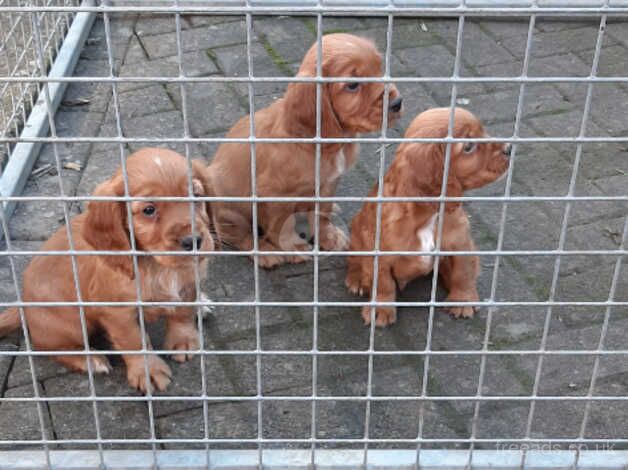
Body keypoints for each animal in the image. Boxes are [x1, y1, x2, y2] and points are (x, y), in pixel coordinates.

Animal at [206, 33, 402, 268]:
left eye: (380, 68)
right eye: (353, 85)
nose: (397, 102)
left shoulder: (329, 184)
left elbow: (322, 214)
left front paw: (329, 236)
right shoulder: (275, 195)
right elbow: (281, 226)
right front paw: (293, 248)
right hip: (230, 210)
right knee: (237, 235)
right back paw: (264, 252)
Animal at [346, 106, 512, 326]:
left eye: (483, 131)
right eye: (468, 146)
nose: (509, 148)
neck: (429, 215)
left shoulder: (461, 243)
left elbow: (463, 272)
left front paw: (462, 300)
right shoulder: (378, 251)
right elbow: (382, 282)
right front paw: (380, 309)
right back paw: (357, 279)